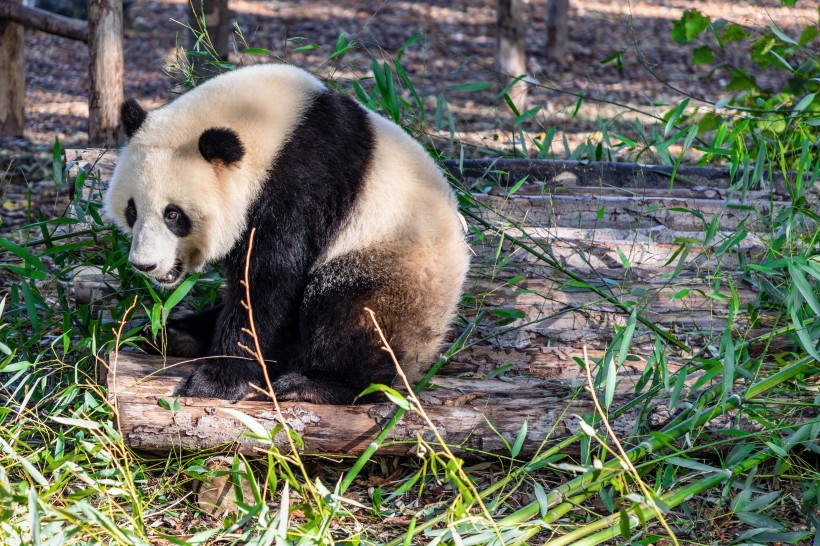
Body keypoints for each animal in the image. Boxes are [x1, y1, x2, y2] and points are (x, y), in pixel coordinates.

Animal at [105, 63, 470, 404]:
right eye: (132, 210)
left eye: (173, 215)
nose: (144, 265)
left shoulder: (302, 182)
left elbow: (270, 279)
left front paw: (217, 380)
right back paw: (174, 334)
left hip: (394, 263)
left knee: (351, 313)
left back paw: (318, 384)